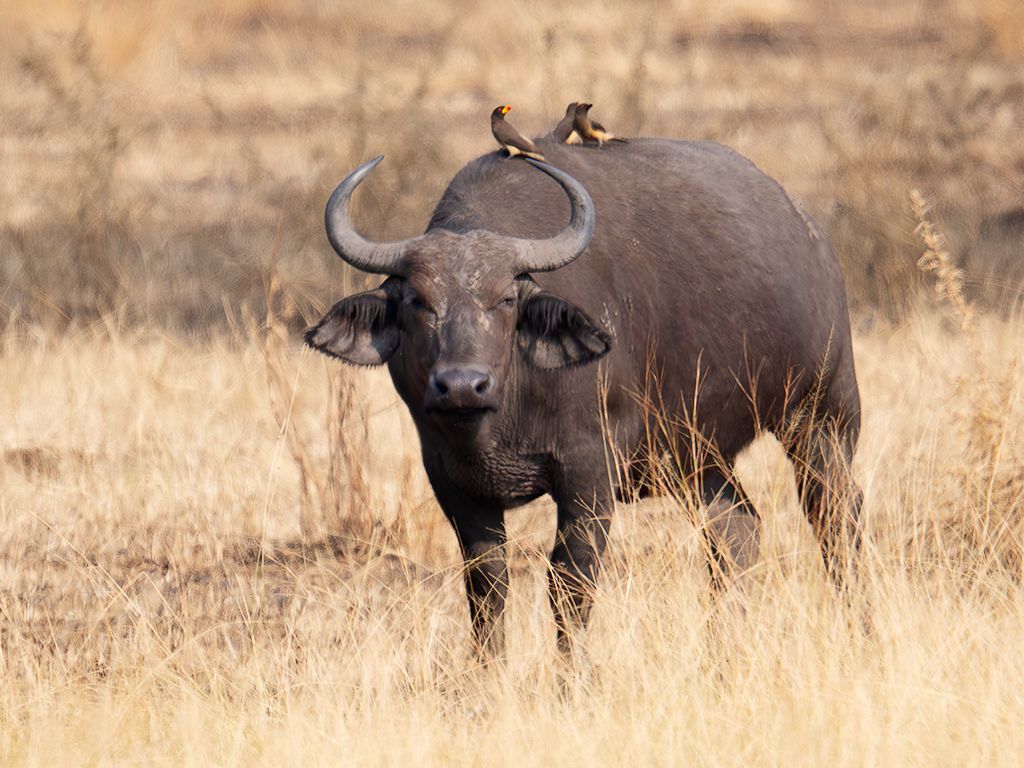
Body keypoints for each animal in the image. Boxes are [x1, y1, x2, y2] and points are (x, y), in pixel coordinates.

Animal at [306, 138, 863, 657]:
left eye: (505, 298)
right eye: (418, 301)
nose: (462, 385)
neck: (501, 417)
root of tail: (811, 235)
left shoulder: (589, 473)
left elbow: (569, 584)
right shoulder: (452, 482)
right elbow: (486, 588)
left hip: (823, 416)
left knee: (836, 517)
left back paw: (862, 627)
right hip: (696, 456)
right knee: (736, 530)